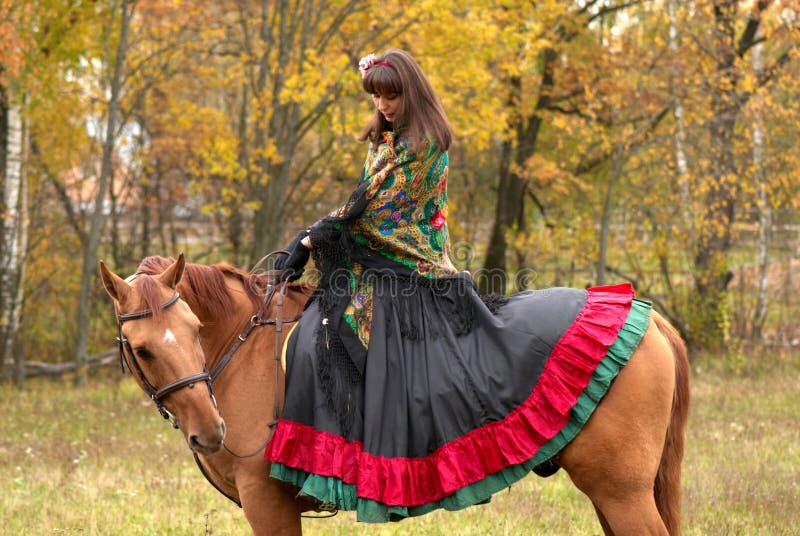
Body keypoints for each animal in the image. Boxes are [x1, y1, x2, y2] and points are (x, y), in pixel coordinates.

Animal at [98, 253, 688, 532]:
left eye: (195, 329)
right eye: (142, 348)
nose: (210, 430)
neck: (245, 353)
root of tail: (647, 316)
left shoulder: (269, 504)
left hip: (621, 492)